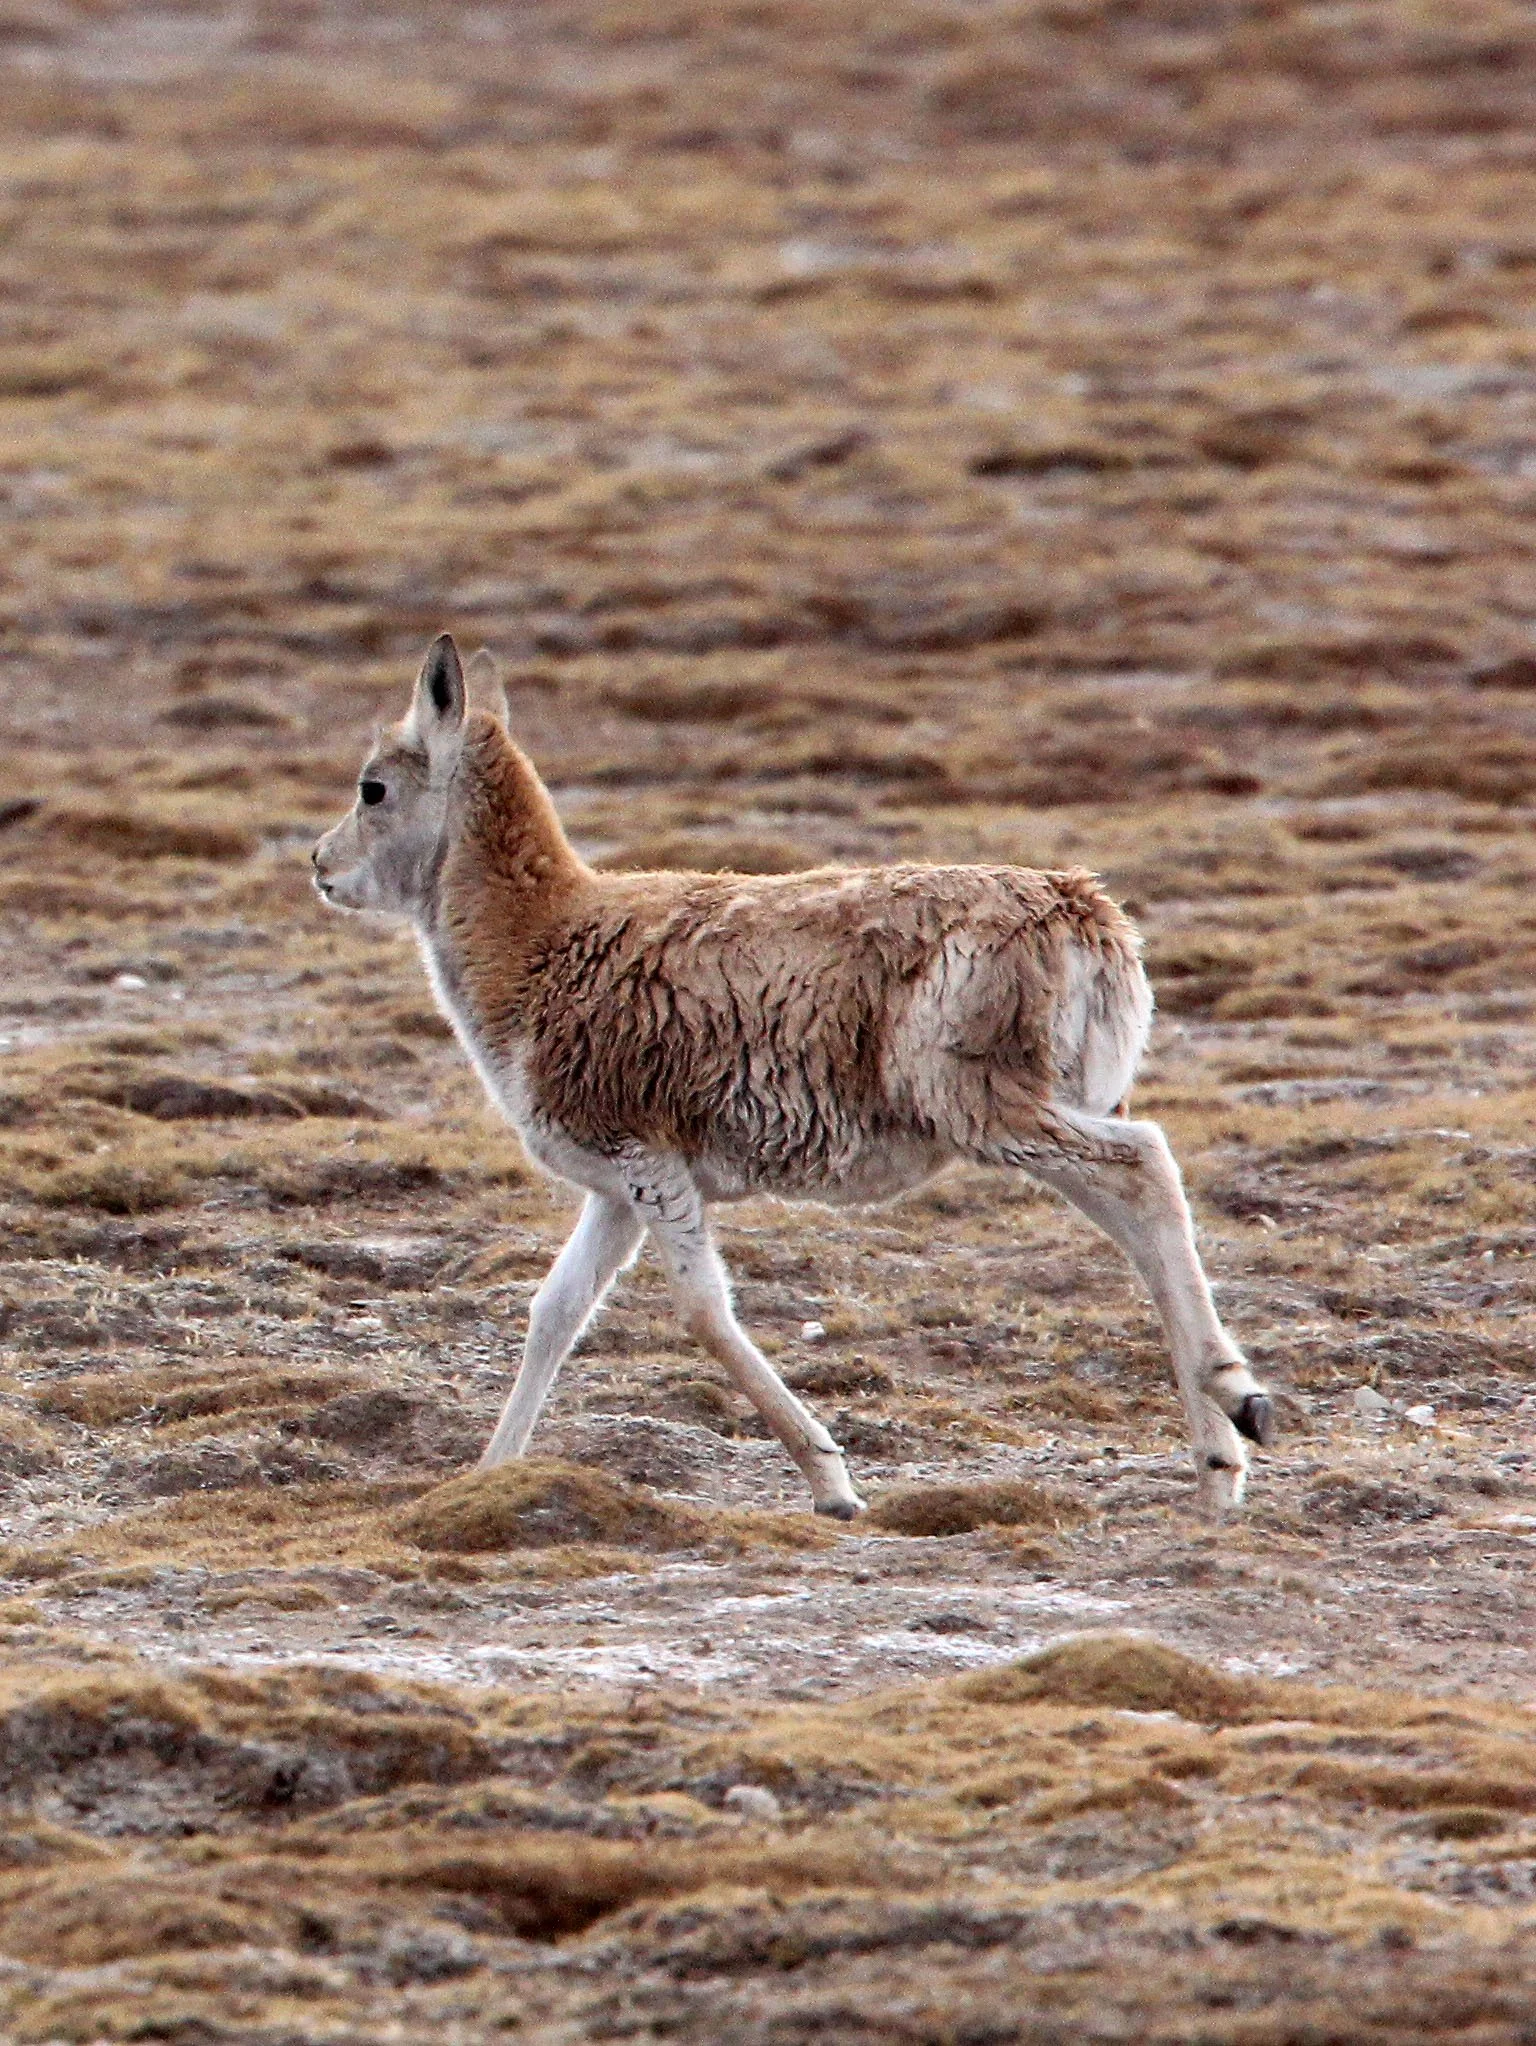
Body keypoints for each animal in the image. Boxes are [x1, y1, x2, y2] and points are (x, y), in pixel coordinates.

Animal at [312, 636, 1274, 1519]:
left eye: (373, 787)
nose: (319, 865)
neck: (544, 939)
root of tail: (1084, 912)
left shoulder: (649, 1164)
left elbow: (702, 1312)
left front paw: (832, 1482)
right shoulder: (614, 1190)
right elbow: (556, 1310)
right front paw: (487, 1474)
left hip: (994, 1112)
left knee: (1146, 1163)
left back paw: (1240, 1406)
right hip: (1049, 1112)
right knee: (1140, 1220)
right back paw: (1220, 1463)